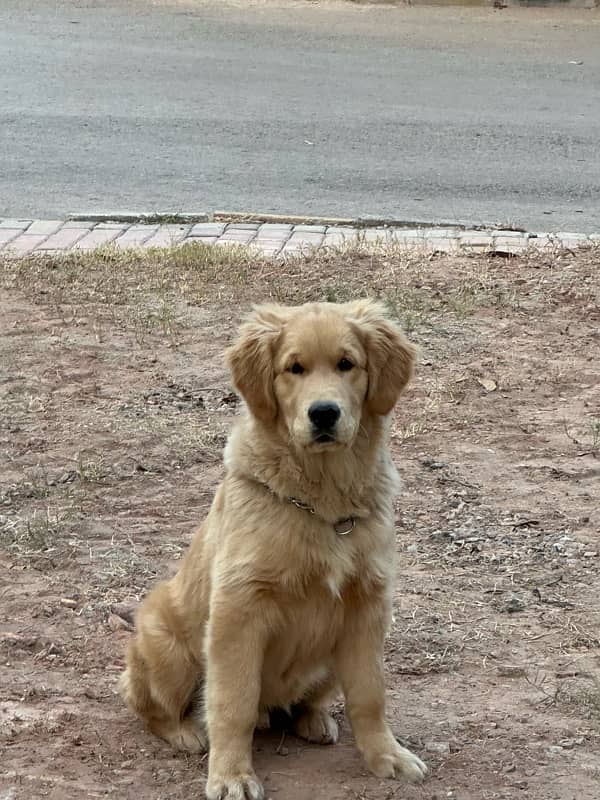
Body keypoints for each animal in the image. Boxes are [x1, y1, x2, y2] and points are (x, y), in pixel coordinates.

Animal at [118, 300, 426, 800]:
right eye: (293, 368)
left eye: (347, 364)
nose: (324, 414)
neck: (322, 501)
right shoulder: (238, 610)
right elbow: (233, 703)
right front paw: (231, 775)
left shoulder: (368, 607)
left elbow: (369, 694)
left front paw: (387, 755)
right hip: (168, 646)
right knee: (146, 701)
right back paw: (185, 731)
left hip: (327, 658)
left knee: (305, 702)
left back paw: (314, 720)